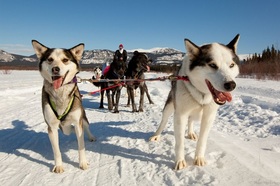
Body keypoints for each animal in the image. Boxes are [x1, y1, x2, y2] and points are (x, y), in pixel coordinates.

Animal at [31, 40, 95, 173]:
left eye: (65, 60)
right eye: (50, 59)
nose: (55, 69)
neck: (60, 94)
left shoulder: (77, 122)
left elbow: (81, 145)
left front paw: (83, 163)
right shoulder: (51, 127)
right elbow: (56, 150)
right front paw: (59, 166)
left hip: (82, 117)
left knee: (86, 127)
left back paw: (91, 136)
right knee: (67, 130)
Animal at [150, 34, 240, 170]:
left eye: (231, 65)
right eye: (212, 65)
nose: (231, 85)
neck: (202, 94)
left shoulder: (209, 116)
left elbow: (202, 140)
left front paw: (199, 158)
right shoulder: (180, 115)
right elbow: (180, 142)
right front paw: (180, 160)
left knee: (191, 120)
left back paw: (191, 132)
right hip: (170, 106)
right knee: (163, 121)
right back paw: (156, 135)